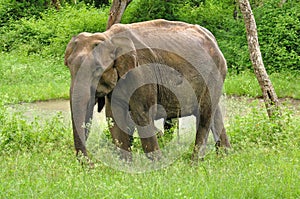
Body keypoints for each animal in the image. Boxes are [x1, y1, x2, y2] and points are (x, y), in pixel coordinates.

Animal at [65, 18, 230, 162]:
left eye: (98, 69)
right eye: (68, 66)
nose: (90, 165)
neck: (109, 37)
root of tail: (213, 39)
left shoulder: (141, 73)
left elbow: (142, 116)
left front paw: (159, 167)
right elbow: (115, 119)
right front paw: (127, 166)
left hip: (214, 73)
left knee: (205, 116)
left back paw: (194, 164)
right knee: (214, 114)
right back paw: (224, 158)